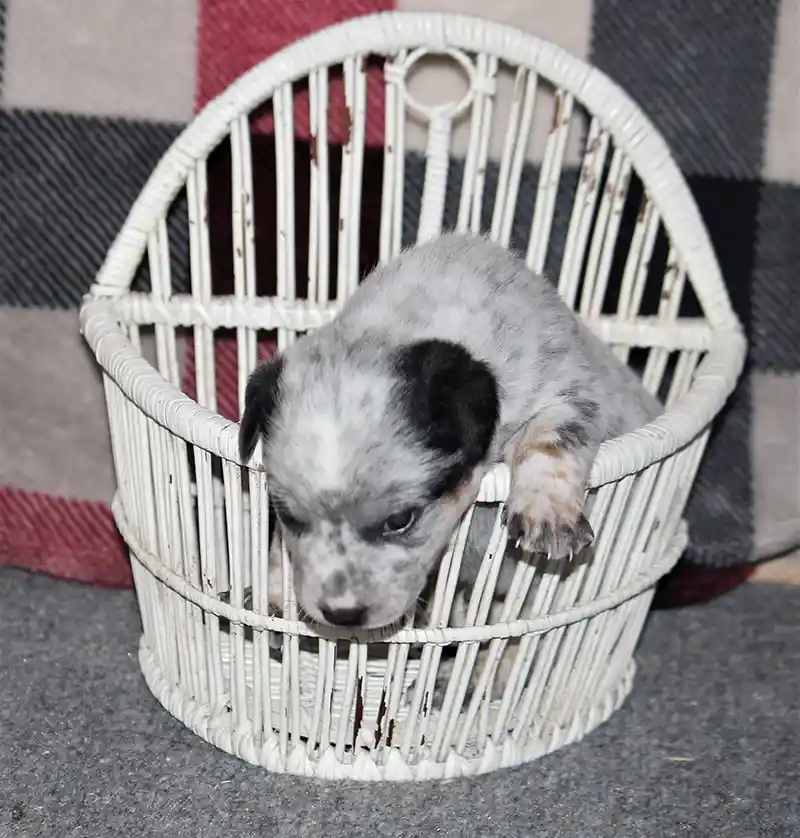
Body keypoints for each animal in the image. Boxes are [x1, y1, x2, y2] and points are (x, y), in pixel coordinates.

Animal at [238, 233, 664, 632]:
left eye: (400, 520)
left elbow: (552, 439)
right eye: (289, 517)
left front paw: (546, 510)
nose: (342, 614)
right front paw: (274, 589)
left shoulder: (571, 392)